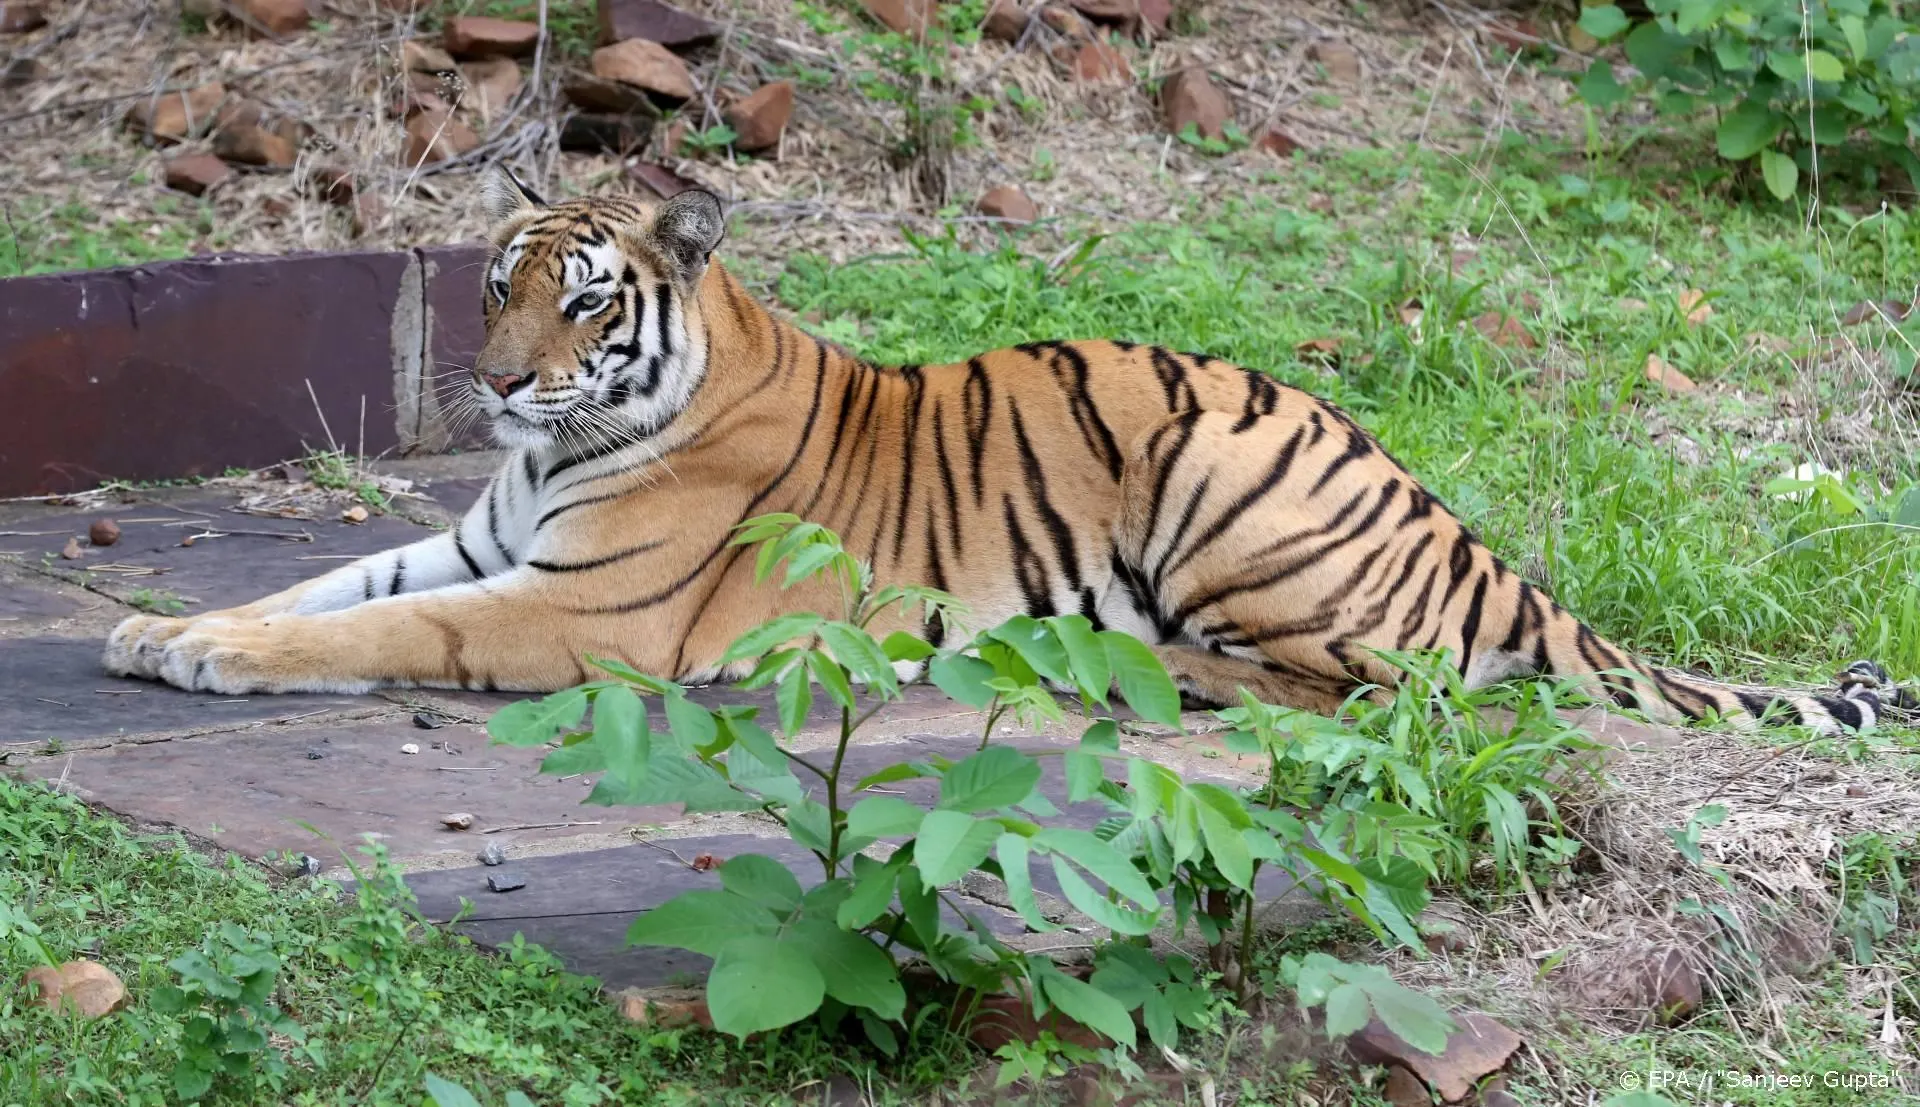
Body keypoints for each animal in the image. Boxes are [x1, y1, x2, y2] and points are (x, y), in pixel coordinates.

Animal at [104, 172, 1912, 736]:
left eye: (584, 296)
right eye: (494, 284)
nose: (491, 383)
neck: (570, 448)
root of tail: (1460, 528)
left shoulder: (578, 608)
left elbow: (387, 623)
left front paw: (205, 654)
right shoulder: (488, 541)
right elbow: (331, 581)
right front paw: (153, 626)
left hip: (1228, 482)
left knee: (1370, 683)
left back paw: (1141, 673)